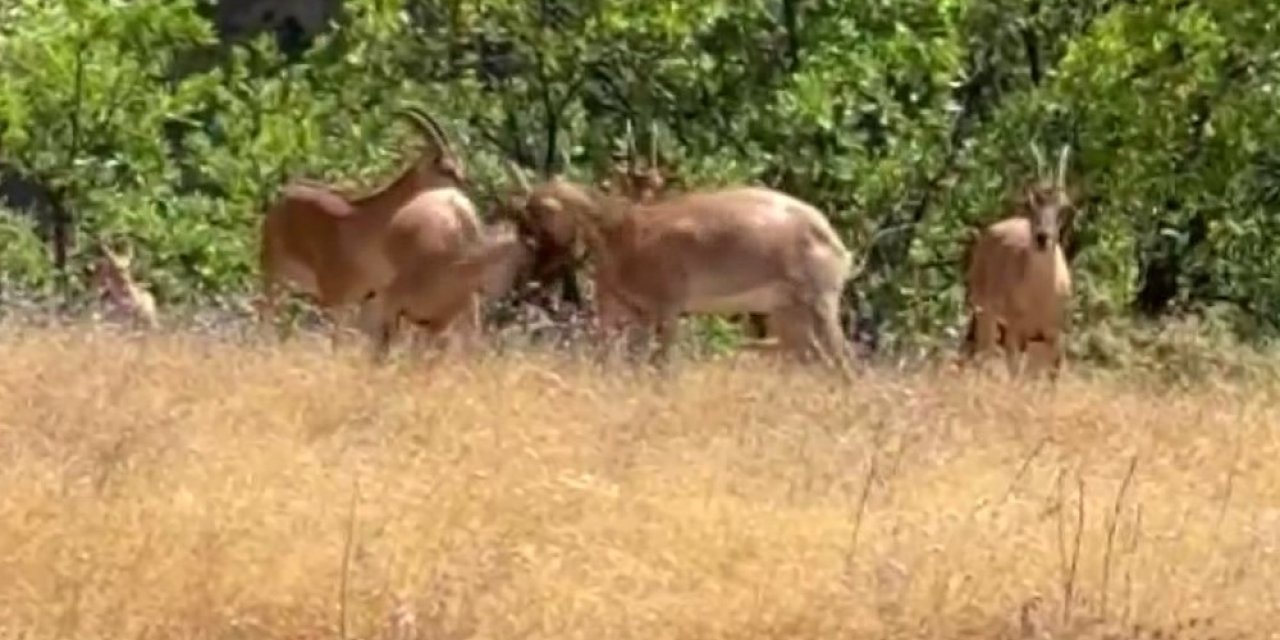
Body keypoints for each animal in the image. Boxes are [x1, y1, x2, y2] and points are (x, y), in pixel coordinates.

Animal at [962, 142, 1080, 376]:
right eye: (1030, 204)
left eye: (1064, 207)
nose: (1042, 238)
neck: (1040, 295)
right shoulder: (1016, 332)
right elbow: (1015, 372)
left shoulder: (1054, 334)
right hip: (985, 312)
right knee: (983, 352)